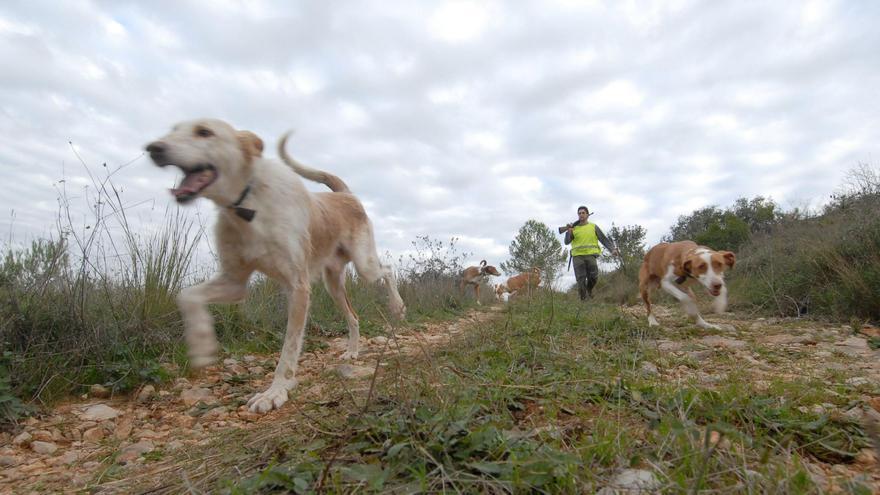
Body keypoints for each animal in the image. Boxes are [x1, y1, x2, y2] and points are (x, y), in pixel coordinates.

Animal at [145, 119, 406, 414]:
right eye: (172, 130)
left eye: (204, 132)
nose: (154, 148)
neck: (248, 205)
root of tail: (345, 195)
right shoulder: (233, 282)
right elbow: (187, 295)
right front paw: (202, 344)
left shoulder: (298, 287)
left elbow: (289, 348)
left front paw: (275, 391)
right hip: (333, 284)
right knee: (353, 316)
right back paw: (352, 350)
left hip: (364, 265)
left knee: (387, 270)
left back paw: (397, 306)